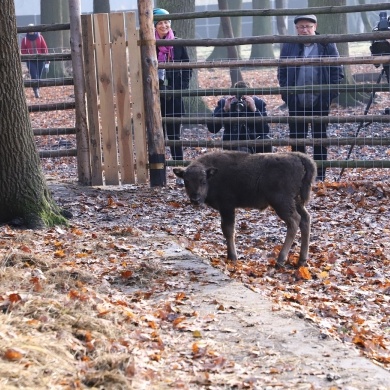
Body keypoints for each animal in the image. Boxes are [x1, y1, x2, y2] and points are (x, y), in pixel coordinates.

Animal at [174, 151, 316, 266]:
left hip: (281, 203)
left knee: (294, 221)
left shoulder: (227, 206)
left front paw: (232, 257)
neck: (213, 176)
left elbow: (228, 230)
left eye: (203, 181)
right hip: (296, 202)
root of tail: (297, 157)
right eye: (186, 181)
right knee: (305, 219)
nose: (195, 199)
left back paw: (280, 260)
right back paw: (302, 261)